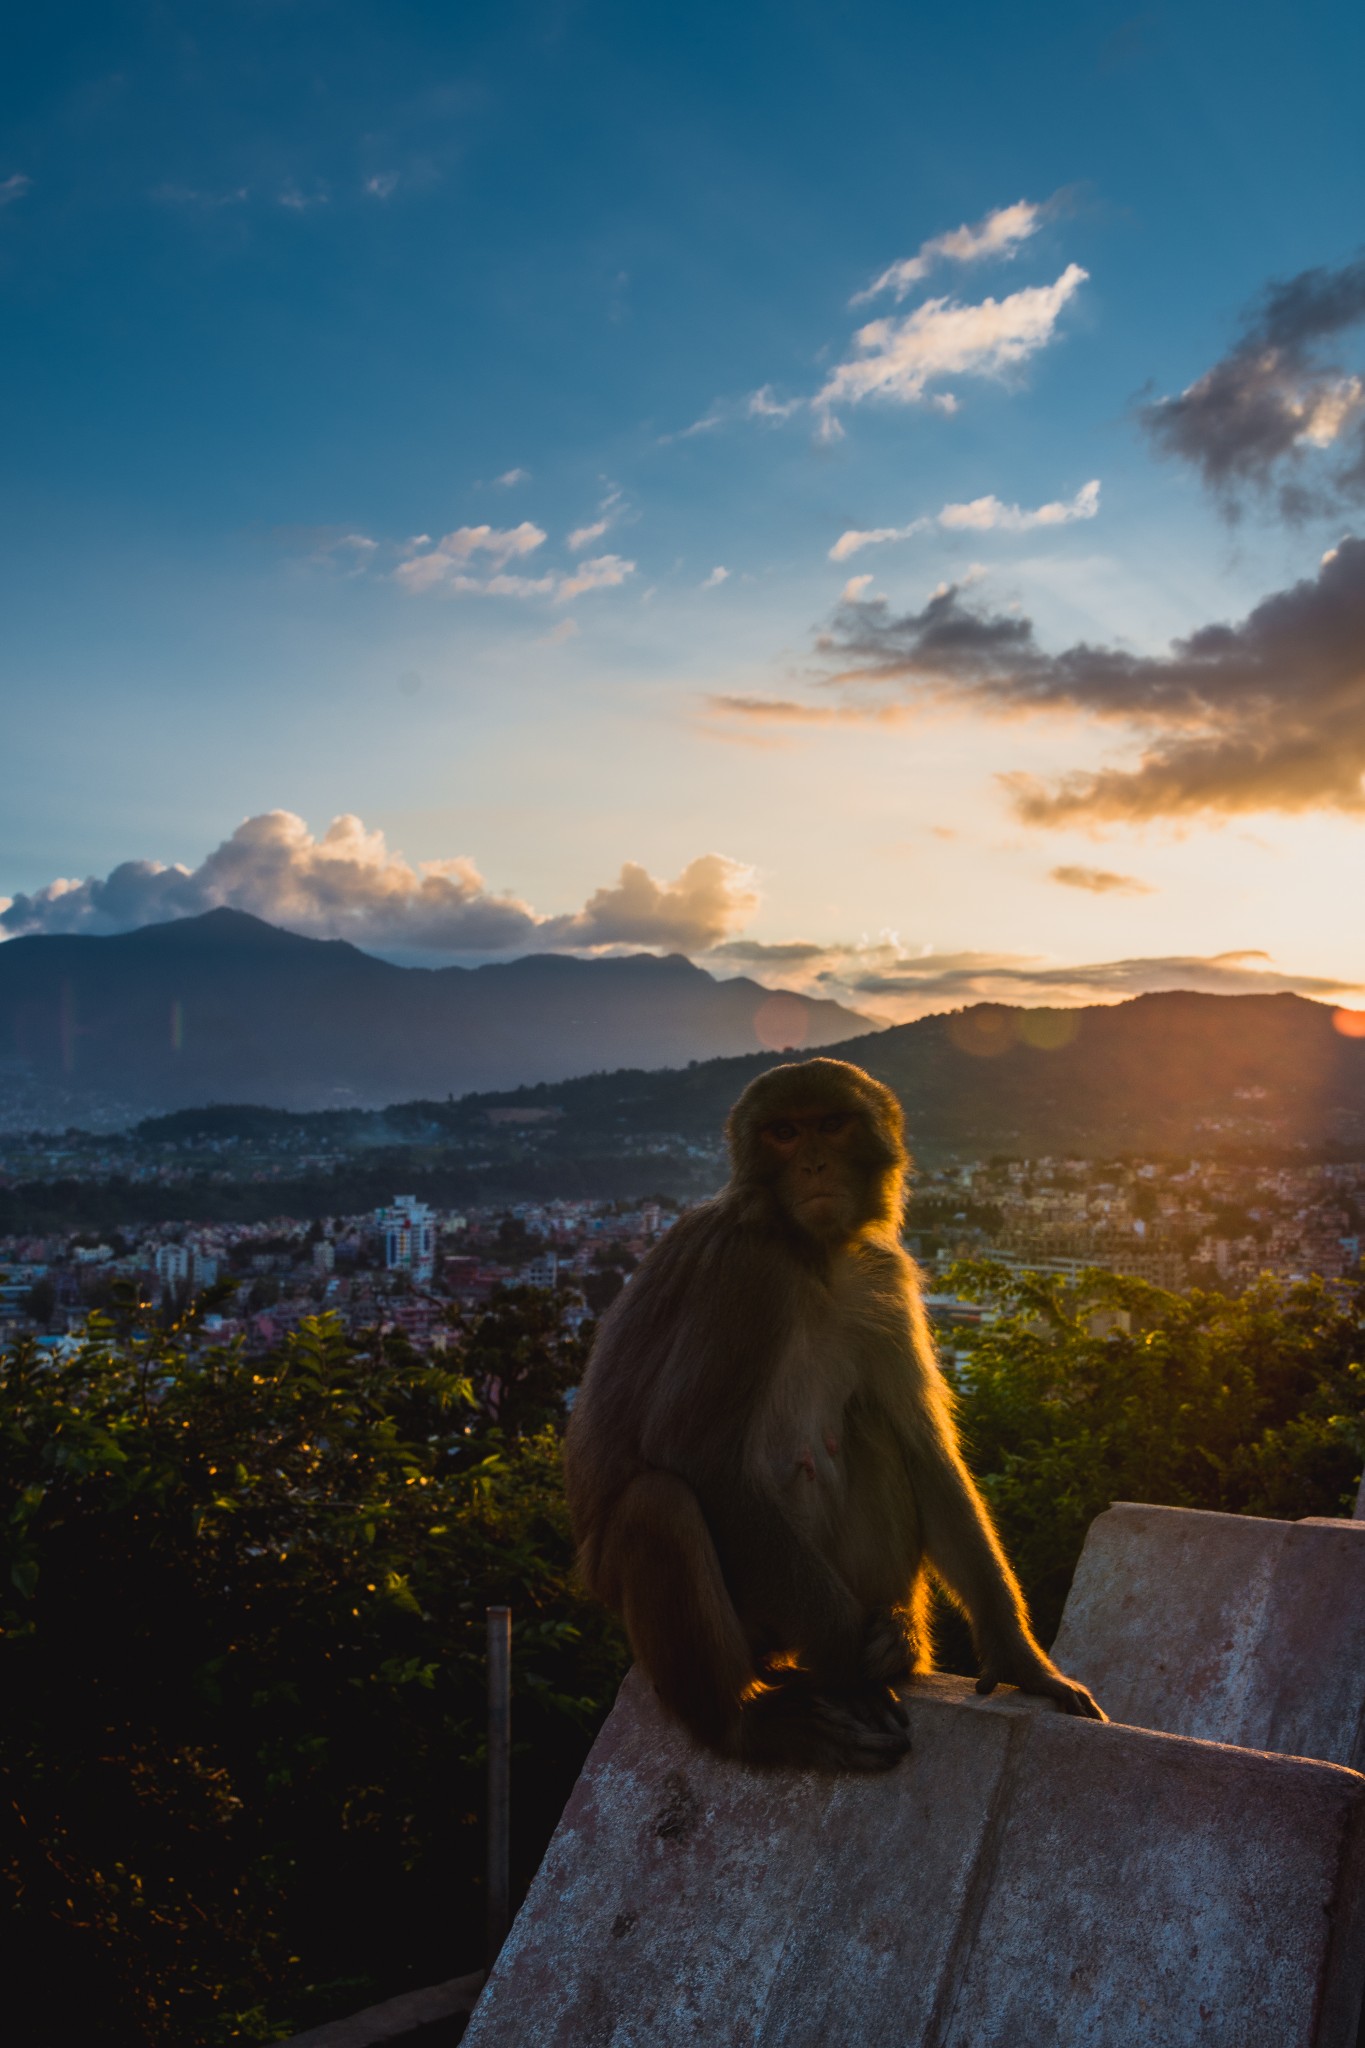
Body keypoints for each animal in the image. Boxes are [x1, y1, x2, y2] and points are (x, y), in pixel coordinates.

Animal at [560, 1056, 1105, 1777]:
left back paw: (898, 1636)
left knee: (871, 1428)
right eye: (784, 1133)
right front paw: (851, 1667)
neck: (811, 1254)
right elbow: (695, 1451)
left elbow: (922, 1447)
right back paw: (748, 1721)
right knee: (658, 1503)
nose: (814, 1164)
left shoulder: (883, 1274)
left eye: (831, 1125)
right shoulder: (746, 1269)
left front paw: (1019, 1659)